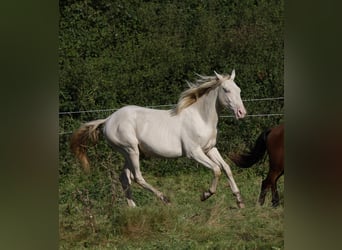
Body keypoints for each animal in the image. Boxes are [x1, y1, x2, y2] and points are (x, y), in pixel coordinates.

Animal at [71, 70, 246, 207]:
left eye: (239, 90)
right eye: (226, 90)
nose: (241, 113)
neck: (200, 118)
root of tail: (108, 120)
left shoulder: (210, 149)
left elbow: (226, 168)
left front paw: (239, 200)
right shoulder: (194, 153)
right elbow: (216, 170)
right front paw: (205, 195)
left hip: (130, 153)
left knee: (124, 177)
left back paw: (133, 207)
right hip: (130, 150)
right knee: (137, 177)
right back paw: (164, 199)